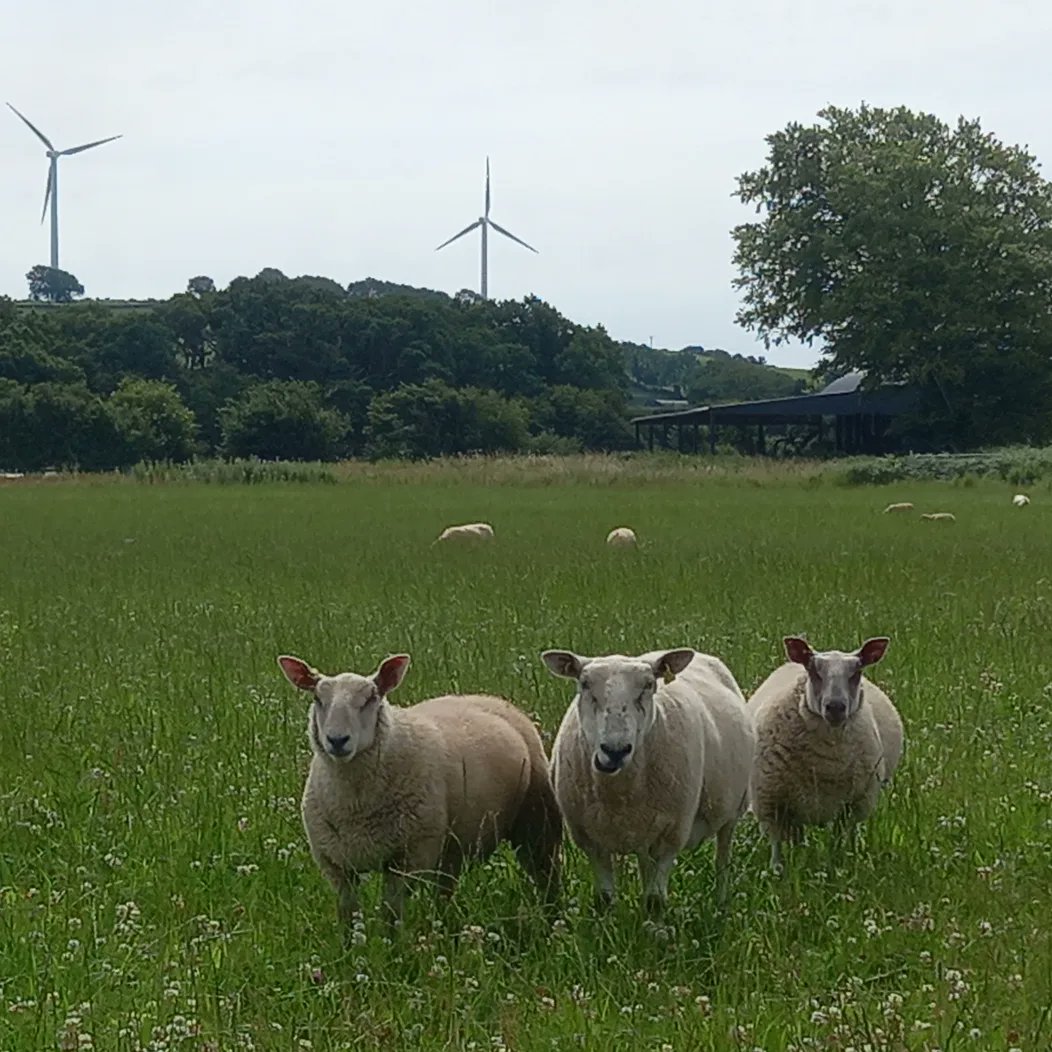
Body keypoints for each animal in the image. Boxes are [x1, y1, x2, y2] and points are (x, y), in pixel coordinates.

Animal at [278, 652, 561, 928]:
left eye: (371, 698)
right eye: (317, 698)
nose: (337, 740)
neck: (355, 803)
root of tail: (487, 698)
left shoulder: (409, 858)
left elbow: (391, 918)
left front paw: (391, 945)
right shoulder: (336, 866)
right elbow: (348, 919)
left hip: (535, 824)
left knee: (546, 877)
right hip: (451, 848)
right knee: (444, 891)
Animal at [541, 647, 754, 911]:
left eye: (649, 685)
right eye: (584, 683)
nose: (615, 750)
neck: (620, 795)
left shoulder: (672, 835)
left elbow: (655, 901)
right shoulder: (589, 840)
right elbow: (605, 899)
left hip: (732, 811)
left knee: (722, 858)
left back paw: (721, 903)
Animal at [748, 636, 905, 874]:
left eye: (857, 671)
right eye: (813, 670)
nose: (836, 707)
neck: (828, 763)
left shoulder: (854, 804)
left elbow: (840, 840)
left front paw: (841, 865)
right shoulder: (772, 804)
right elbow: (777, 847)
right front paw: (778, 872)